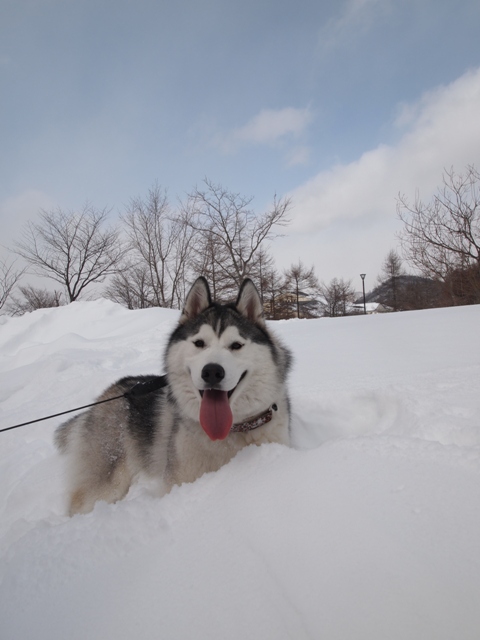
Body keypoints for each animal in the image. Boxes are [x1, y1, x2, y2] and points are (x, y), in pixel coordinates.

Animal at [54, 278, 290, 516]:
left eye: (236, 345)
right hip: (106, 481)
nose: (212, 372)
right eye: (199, 343)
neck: (231, 431)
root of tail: (108, 393)